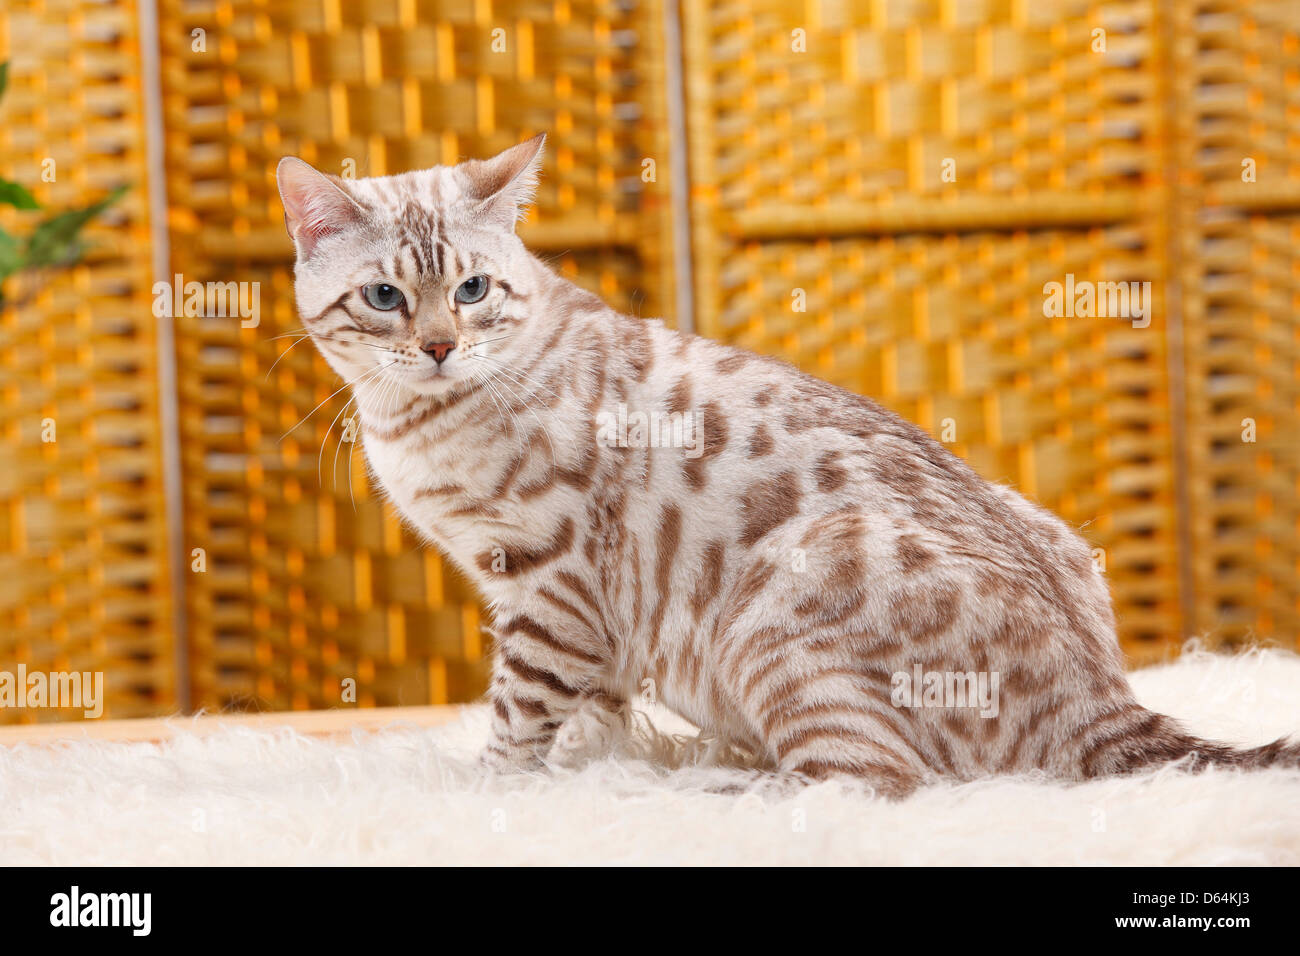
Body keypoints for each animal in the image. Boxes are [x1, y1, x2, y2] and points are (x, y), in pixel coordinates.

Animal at [276, 132, 1300, 790]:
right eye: (384, 297)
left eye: (473, 290)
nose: (440, 346)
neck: (416, 422)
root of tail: (1101, 697)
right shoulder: (568, 611)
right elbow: (593, 715)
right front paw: (593, 769)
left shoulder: (551, 584)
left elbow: (519, 714)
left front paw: (493, 791)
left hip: (776, 617)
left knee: (870, 783)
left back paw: (716, 791)